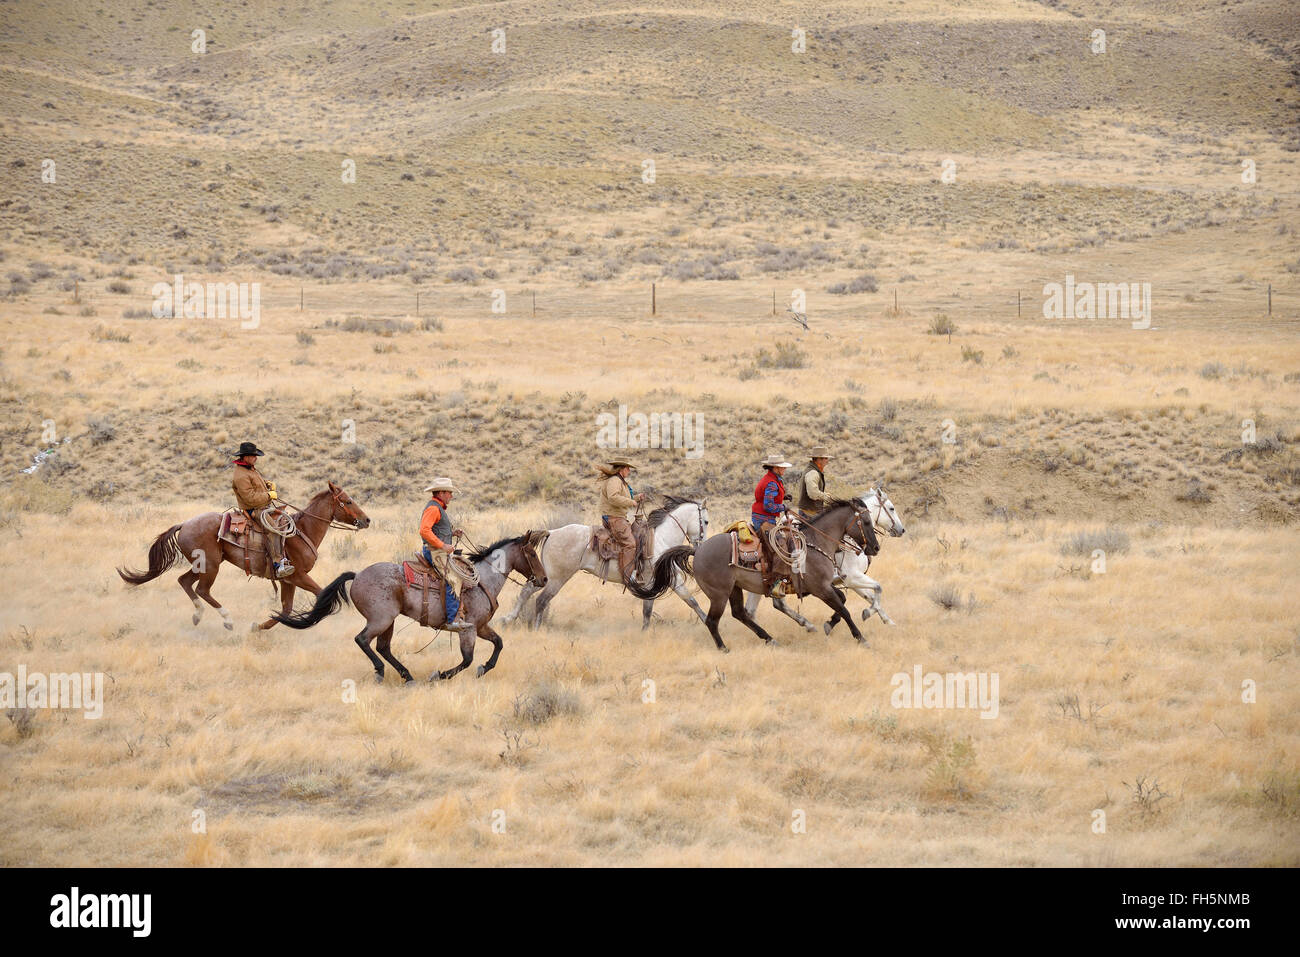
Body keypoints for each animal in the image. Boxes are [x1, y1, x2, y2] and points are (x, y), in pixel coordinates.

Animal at [117, 481, 371, 631]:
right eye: (348, 501)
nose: (366, 519)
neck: (303, 531)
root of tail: (185, 524)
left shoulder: (288, 580)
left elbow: (286, 608)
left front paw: (260, 627)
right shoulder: (298, 576)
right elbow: (321, 595)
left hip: (203, 565)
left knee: (185, 582)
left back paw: (198, 615)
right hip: (210, 566)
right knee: (202, 589)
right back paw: (227, 619)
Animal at [274, 530, 548, 681]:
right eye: (532, 554)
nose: (544, 579)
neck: (483, 580)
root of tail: (358, 574)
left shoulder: (481, 627)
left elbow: (498, 644)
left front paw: (485, 668)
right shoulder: (468, 629)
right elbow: (467, 659)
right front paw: (439, 675)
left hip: (389, 621)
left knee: (383, 647)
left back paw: (407, 676)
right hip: (381, 619)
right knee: (363, 640)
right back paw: (382, 671)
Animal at [496, 496, 712, 631]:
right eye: (706, 521)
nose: (701, 546)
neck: (660, 539)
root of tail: (552, 532)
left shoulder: (668, 580)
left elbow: (685, 601)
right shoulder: (657, 580)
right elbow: (653, 608)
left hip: (545, 576)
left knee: (526, 591)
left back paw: (508, 619)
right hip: (557, 578)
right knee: (541, 601)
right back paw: (536, 628)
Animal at [626, 501, 878, 650]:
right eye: (866, 521)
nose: (875, 548)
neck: (814, 544)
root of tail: (697, 550)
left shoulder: (824, 587)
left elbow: (842, 603)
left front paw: (828, 625)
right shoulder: (820, 588)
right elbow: (844, 609)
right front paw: (861, 638)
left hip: (734, 588)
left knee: (740, 613)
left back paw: (769, 638)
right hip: (719, 594)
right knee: (713, 620)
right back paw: (724, 648)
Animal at [748, 488, 909, 631]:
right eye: (891, 508)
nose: (901, 530)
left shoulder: (850, 581)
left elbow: (869, 596)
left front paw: (888, 621)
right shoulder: (852, 577)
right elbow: (877, 588)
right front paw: (867, 613)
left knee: (752, 609)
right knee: (777, 604)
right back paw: (806, 625)